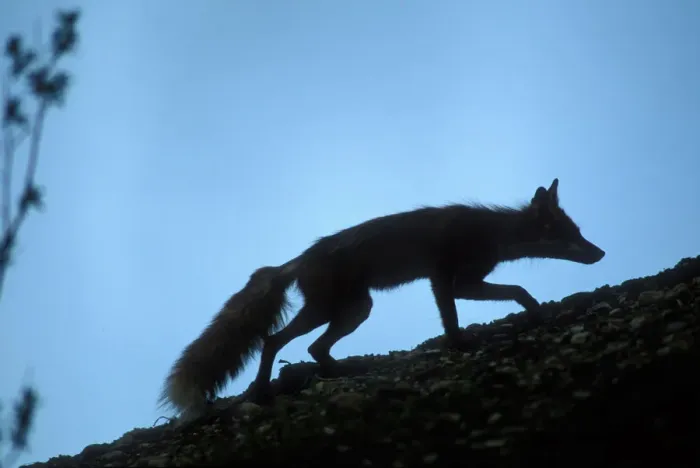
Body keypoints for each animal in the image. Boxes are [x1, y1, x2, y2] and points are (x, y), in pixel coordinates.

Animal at [159, 178, 605, 421]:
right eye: (570, 233)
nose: (600, 253)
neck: (491, 231)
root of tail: (297, 259)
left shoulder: (464, 280)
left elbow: (513, 293)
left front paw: (532, 314)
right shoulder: (448, 279)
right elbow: (467, 312)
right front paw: (461, 344)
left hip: (355, 310)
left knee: (313, 347)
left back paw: (341, 372)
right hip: (332, 309)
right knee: (274, 341)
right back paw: (265, 389)